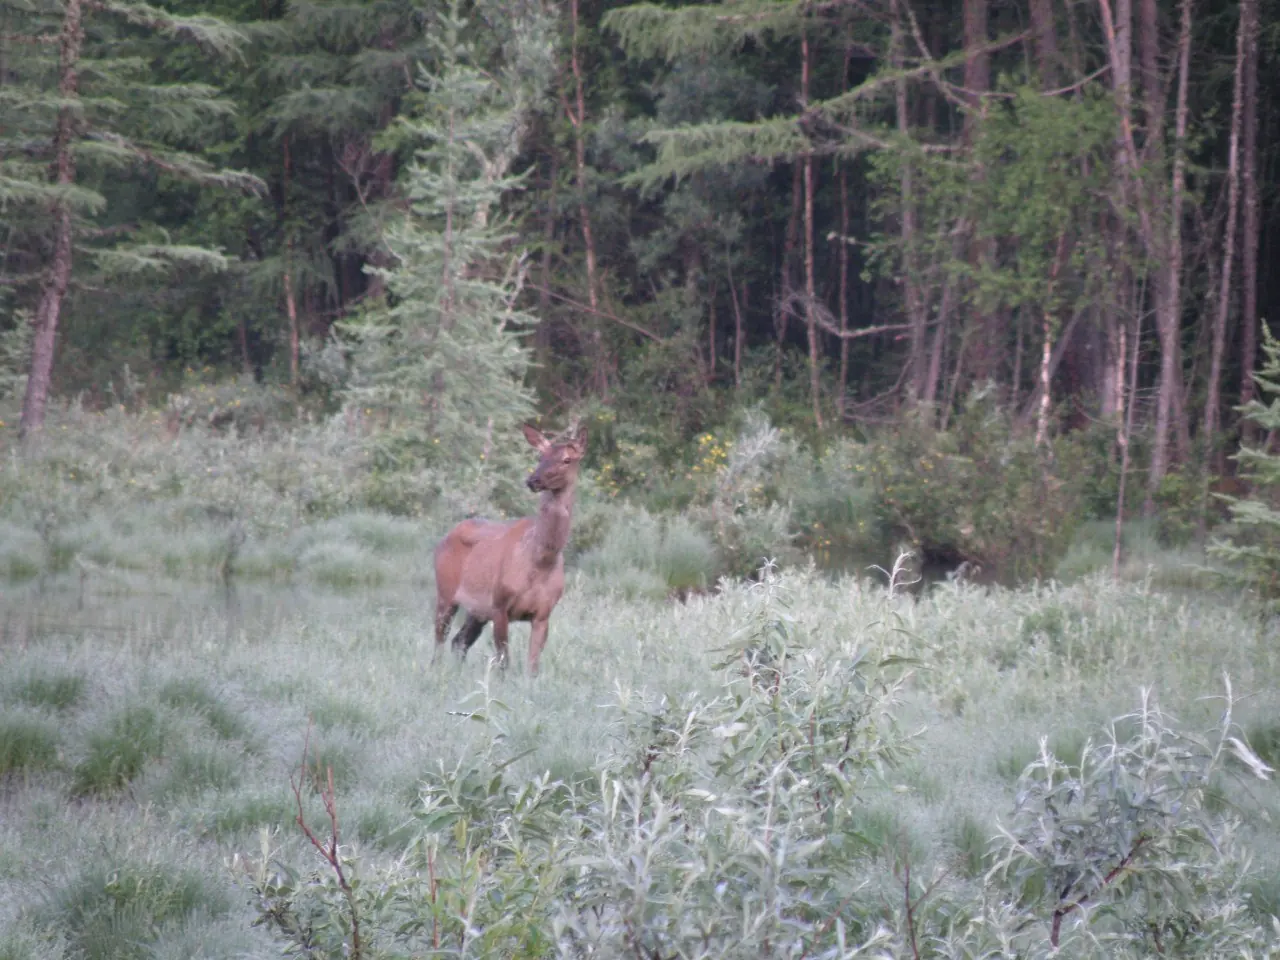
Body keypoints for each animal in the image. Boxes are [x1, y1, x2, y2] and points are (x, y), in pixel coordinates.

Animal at [433, 422, 587, 675]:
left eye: (567, 459)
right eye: (540, 456)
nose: (533, 480)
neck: (540, 561)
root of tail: (445, 538)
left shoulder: (543, 613)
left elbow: (532, 666)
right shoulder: (500, 604)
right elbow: (504, 661)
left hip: (477, 610)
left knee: (458, 641)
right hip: (445, 591)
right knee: (439, 640)